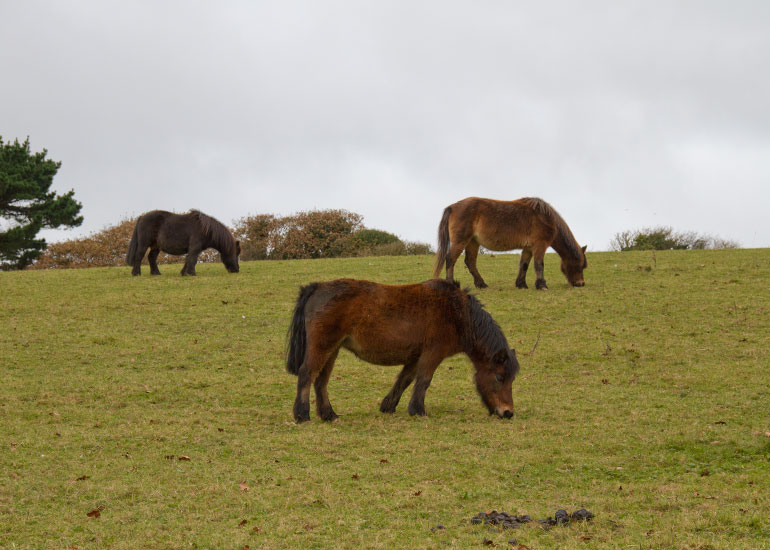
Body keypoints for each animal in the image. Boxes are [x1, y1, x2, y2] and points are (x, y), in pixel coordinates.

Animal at [286, 278, 519, 423]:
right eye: (499, 377)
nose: (508, 412)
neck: (457, 312)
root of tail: (317, 287)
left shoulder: (416, 357)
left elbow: (404, 380)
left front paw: (388, 406)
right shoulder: (432, 354)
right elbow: (423, 381)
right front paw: (418, 410)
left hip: (332, 350)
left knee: (320, 381)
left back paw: (328, 414)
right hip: (323, 348)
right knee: (307, 375)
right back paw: (302, 415)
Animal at [433, 197, 587, 290]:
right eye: (580, 265)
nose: (581, 284)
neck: (545, 218)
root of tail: (452, 207)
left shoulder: (528, 248)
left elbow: (524, 265)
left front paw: (521, 284)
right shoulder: (539, 245)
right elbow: (539, 265)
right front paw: (542, 285)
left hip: (473, 242)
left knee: (470, 262)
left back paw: (481, 284)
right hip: (461, 241)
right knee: (450, 259)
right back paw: (451, 284)